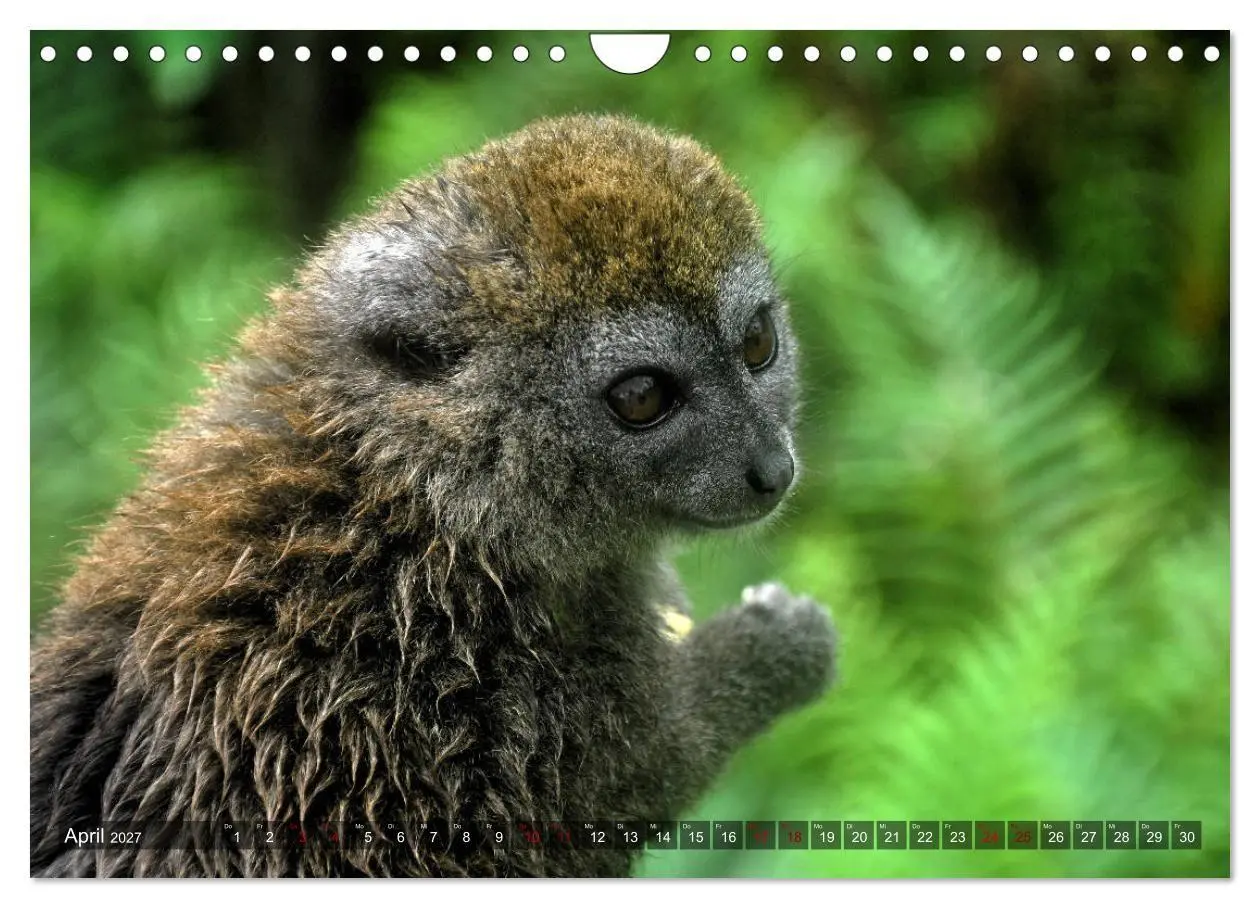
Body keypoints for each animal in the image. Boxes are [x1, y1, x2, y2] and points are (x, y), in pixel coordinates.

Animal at [29, 114, 839, 878]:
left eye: (758, 344)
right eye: (641, 397)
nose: (772, 469)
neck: (409, 486)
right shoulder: (467, 676)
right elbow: (647, 771)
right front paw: (775, 645)